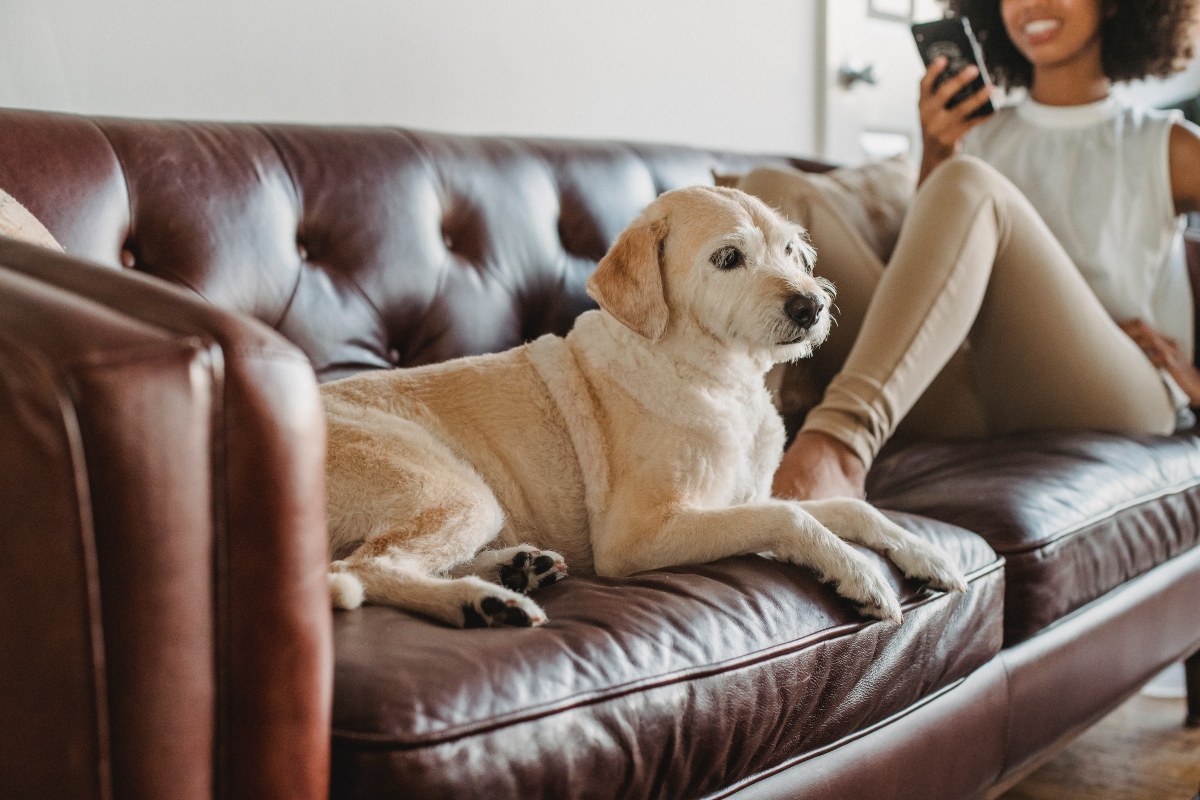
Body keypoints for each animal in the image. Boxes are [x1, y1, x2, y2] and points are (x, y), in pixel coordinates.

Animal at [324, 185, 969, 623]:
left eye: (790, 250)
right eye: (728, 258)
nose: (812, 306)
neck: (718, 381)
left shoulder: (746, 498)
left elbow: (849, 509)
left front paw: (923, 553)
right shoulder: (639, 536)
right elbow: (792, 518)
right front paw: (859, 573)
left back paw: (514, 569)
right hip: (458, 491)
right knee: (360, 568)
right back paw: (481, 603)